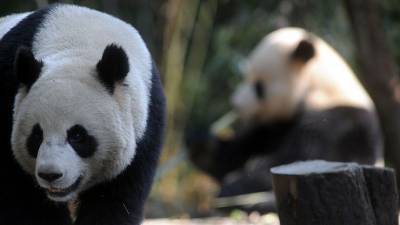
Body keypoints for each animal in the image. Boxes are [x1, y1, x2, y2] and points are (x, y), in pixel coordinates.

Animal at [0, 3, 165, 225]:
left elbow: (115, 200)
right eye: (36, 135)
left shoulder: (145, 124)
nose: (50, 174)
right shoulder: (6, 91)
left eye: (77, 135)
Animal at [186, 27, 382, 211]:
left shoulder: (335, 122)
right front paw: (201, 145)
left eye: (259, 86)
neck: (317, 87)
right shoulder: (273, 125)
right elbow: (236, 153)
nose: (236, 103)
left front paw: (232, 187)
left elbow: (296, 156)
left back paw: (253, 203)